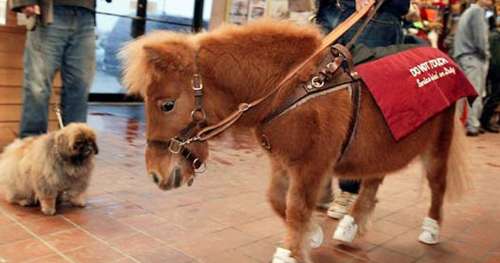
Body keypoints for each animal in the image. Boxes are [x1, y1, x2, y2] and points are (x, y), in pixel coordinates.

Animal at [120, 19, 468, 263]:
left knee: (437, 184)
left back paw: (431, 229)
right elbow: (278, 200)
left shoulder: (312, 166)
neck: (290, 89)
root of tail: (443, 55)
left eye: (167, 105)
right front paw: (310, 235)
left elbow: (297, 207)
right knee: (373, 181)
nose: (156, 175)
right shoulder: (283, 162)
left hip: (439, 142)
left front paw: (292, 251)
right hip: (384, 145)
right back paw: (352, 224)